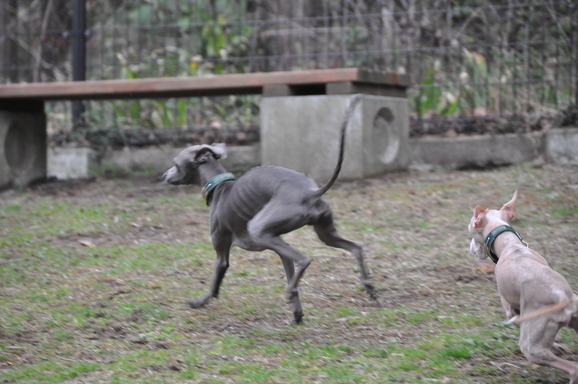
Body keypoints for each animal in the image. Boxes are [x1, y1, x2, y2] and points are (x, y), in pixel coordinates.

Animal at [164, 94, 376, 322]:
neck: (219, 186)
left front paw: (199, 301)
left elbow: (215, 284)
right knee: (356, 247)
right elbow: (290, 271)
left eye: (175, 163)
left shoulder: (223, 253)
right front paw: (297, 313)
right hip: (324, 233)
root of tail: (310, 192)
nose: (164, 175)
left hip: (257, 229)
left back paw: (292, 290)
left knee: (305, 259)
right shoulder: (278, 244)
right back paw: (368, 286)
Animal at [466, 190, 576, 382]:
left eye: (471, 230)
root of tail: (561, 296)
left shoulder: (512, 311)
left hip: (531, 346)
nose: (470, 248)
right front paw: (558, 341)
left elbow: (514, 319)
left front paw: (557, 345)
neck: (510, 245)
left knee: (573, 369)